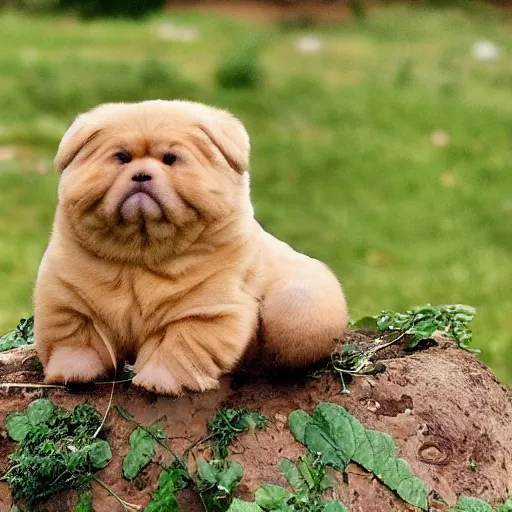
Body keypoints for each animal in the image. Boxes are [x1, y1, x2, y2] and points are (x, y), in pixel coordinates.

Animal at [34, 101, 350, 396]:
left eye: (170, 159)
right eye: (122, 158)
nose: (141, 175)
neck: (141, 254)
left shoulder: (205, 312)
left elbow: (177, 348)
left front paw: (158, 384)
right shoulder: (66, 301)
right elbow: (76, 341)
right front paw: (71, 375)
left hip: (296, 305)